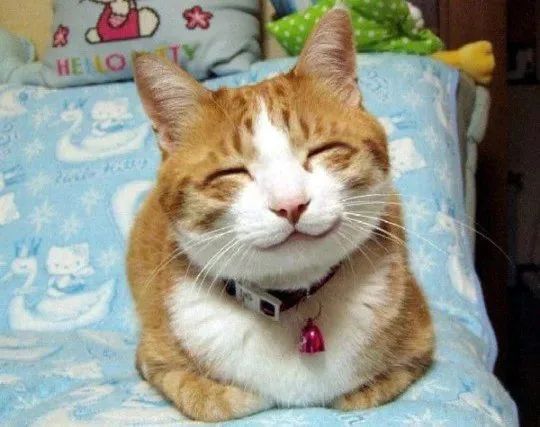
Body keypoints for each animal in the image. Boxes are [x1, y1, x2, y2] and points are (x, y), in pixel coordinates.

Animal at [127, 7, 434, 424]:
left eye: (322, 150)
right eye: (231, 172)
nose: (291, 204)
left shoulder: (421, 343)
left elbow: (369, 390)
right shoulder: (152, 358)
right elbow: (207, 398)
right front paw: (230, 394)